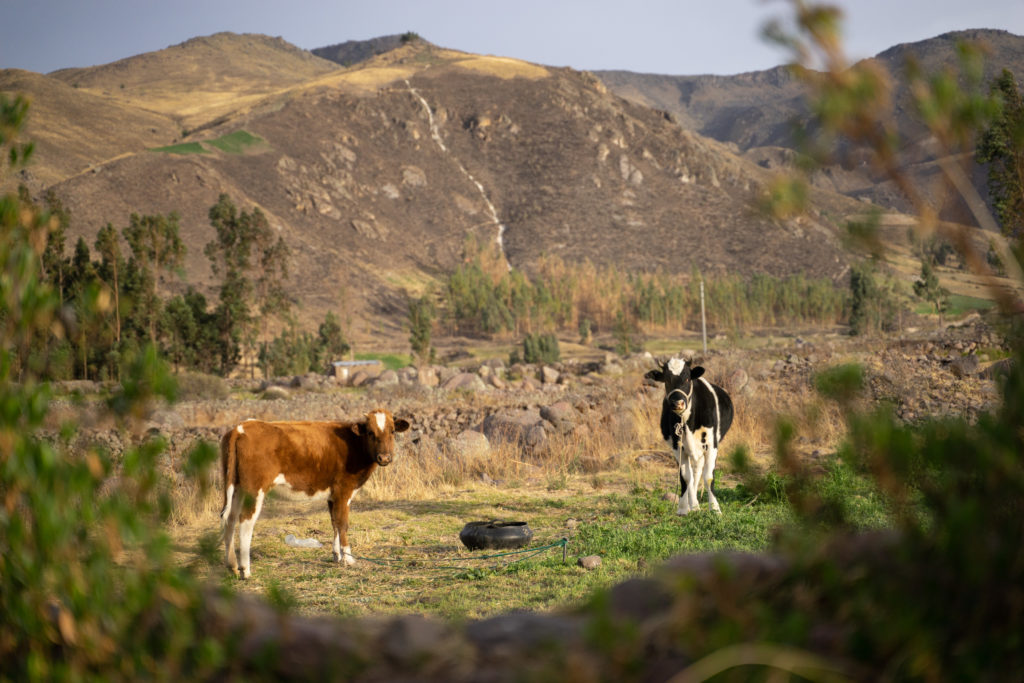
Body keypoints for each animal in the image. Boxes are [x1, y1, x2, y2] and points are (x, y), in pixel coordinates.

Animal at [219, 409, 411, 579]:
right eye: (370, 432)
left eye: (392, 431)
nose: (384, 458)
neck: (353, 445)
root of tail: (241, 427)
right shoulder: (344, 491)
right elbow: (343, 524)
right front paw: (348, 558)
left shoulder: (332, 495)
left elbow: (334, 522)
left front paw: (337, 555)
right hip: (254, 489)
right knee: (245, 522)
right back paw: (245, 570)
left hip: (236, 488)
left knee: (230, 519)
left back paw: (232, 566)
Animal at [645, 357, 733, 515]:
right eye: (666, 379)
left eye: (687, 378)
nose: (677, 403)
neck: (687, 421)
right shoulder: (677, 447)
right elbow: (686, 477)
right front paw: (682, 508)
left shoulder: (712, 445)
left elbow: (708, 477)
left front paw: (715, 508)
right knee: (692, 475)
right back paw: (694, 505)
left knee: (698, 471)